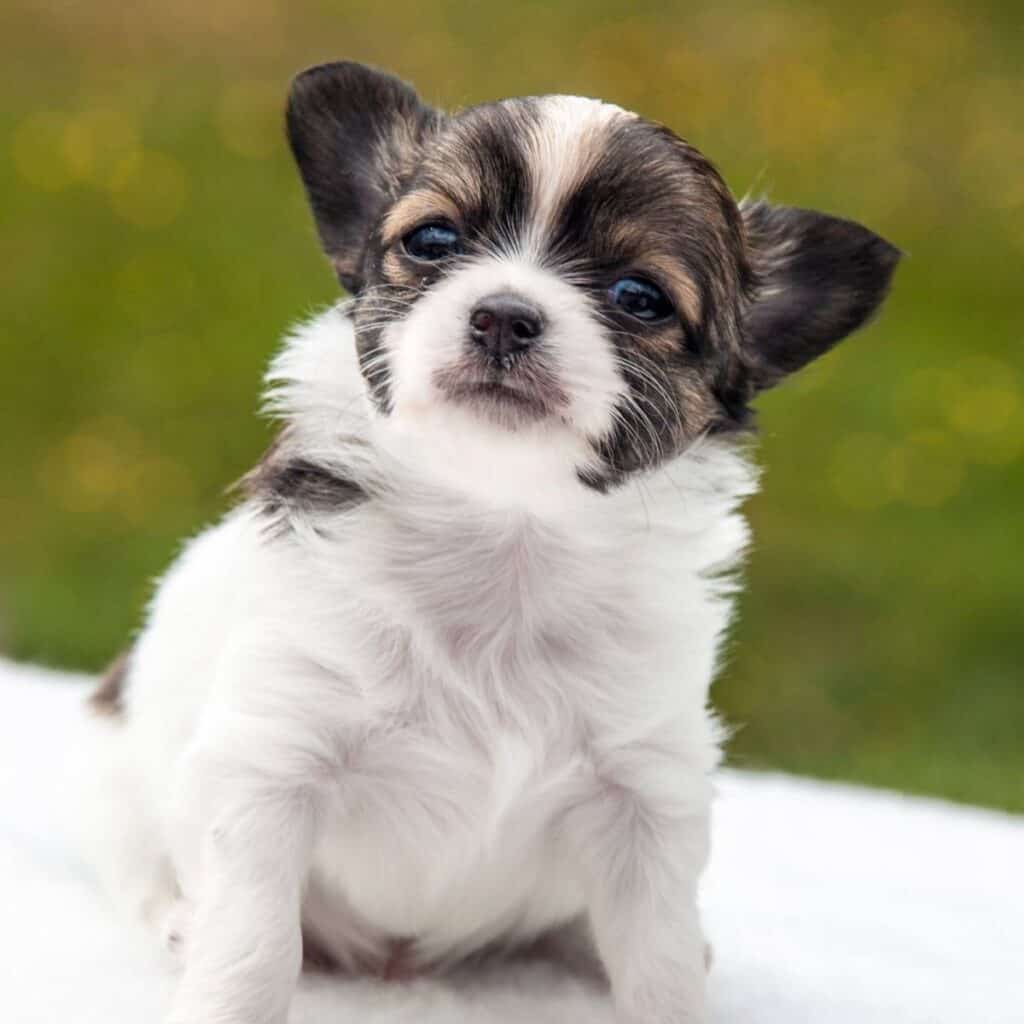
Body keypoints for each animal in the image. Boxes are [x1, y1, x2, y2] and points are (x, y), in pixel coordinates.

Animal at [83, 61, 901, 1024]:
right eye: (433, 240)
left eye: (639, 298)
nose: (505, 314)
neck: (503, 535)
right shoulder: (270, 765)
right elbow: (252, 949)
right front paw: (224, 991)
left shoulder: (647, 800)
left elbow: (659, 965)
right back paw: (176, 917)